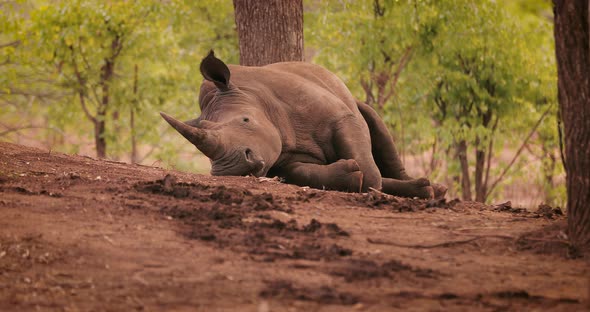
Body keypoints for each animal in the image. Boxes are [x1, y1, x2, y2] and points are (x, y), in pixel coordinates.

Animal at [160, 50, 446, 197]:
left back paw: (433, 191)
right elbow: (302, 172)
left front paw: (370, 185)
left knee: (374, 124)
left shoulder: (341, 116)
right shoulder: (283, 156)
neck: (254, 96)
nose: (232, 168)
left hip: (351, 99)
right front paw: (351, 176)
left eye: (246, 119)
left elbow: (368, 166)